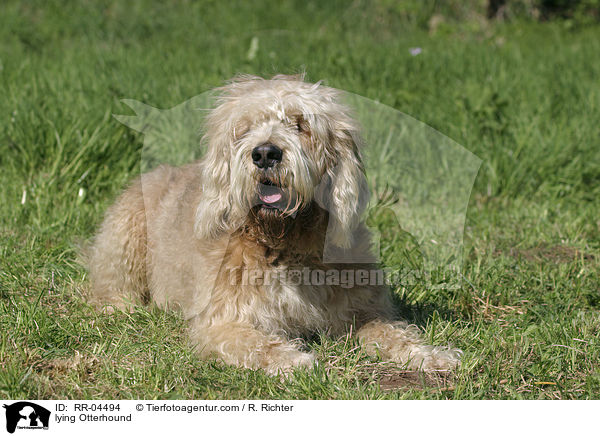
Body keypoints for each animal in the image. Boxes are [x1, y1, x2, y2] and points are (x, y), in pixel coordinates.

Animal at [86, 75, 462, 374]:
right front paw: (294, 361)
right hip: (126, 234)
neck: (284, 243)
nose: (265, 153)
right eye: (246, 129)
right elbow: (255, 343)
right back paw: (119, 306)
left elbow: (391, 332)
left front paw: (429, 355)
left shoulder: (361, 310)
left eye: (300, 124)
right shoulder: (222, 322)